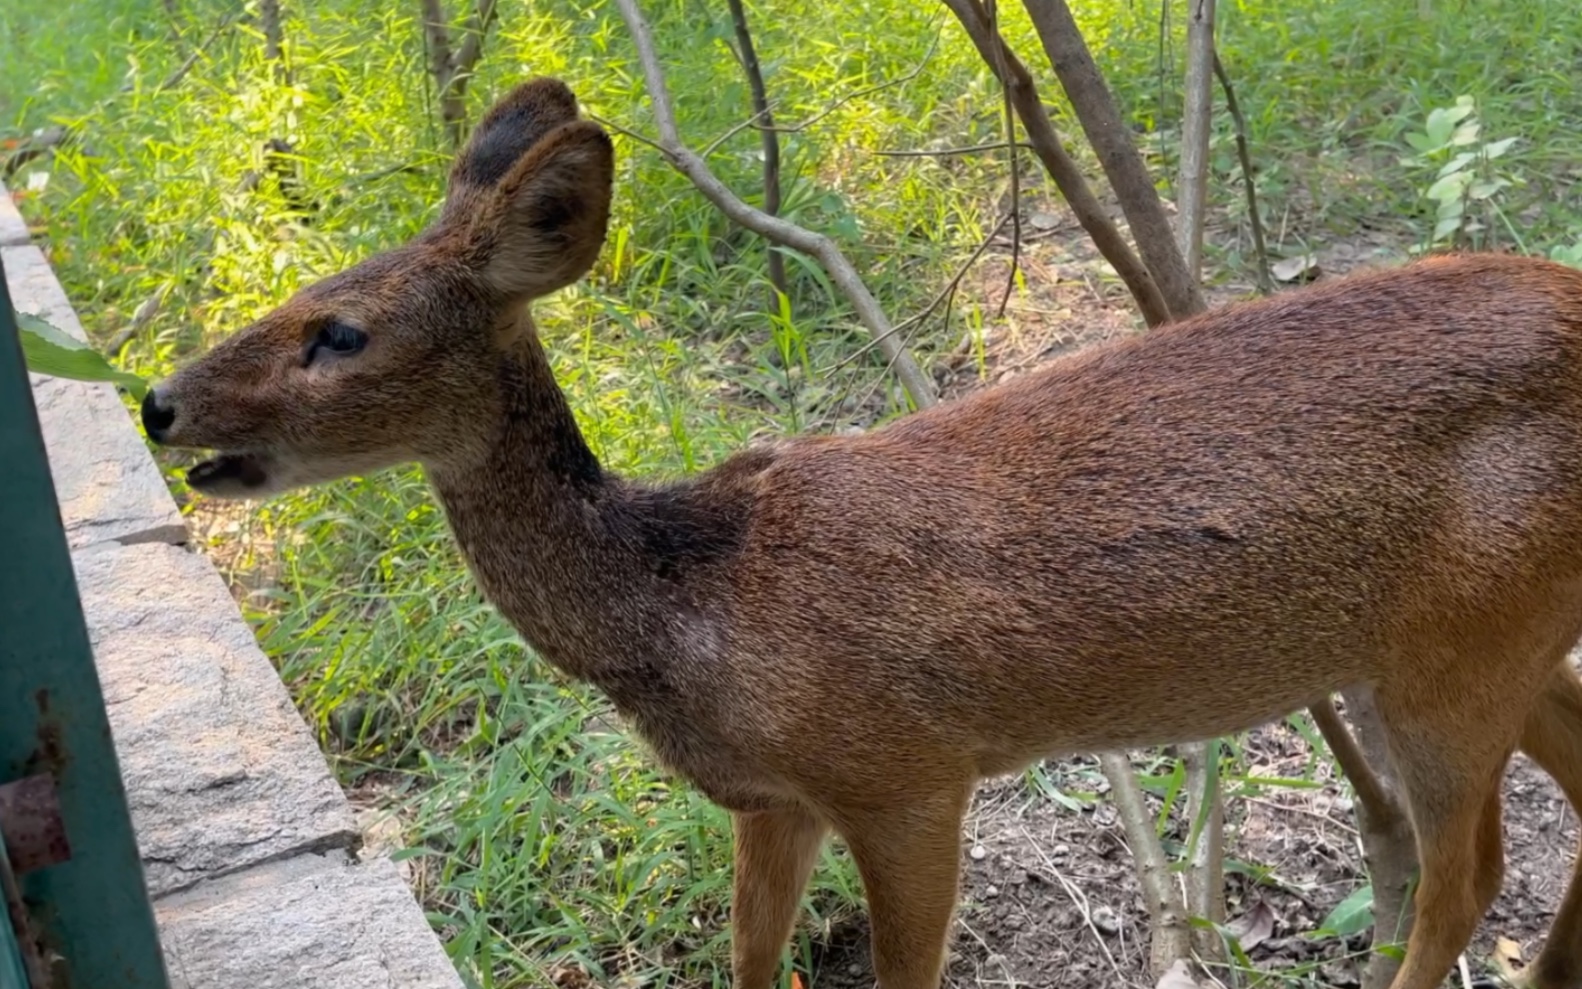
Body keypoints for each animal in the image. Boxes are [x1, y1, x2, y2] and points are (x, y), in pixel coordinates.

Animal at [142, 79, 1582, 987]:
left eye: (340, 331)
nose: (160, 401)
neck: (692, 599)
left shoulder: (906, 770)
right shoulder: (774, 800)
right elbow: (750, 957)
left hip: (1446, 655)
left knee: (1464, 876)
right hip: (1489, 633)